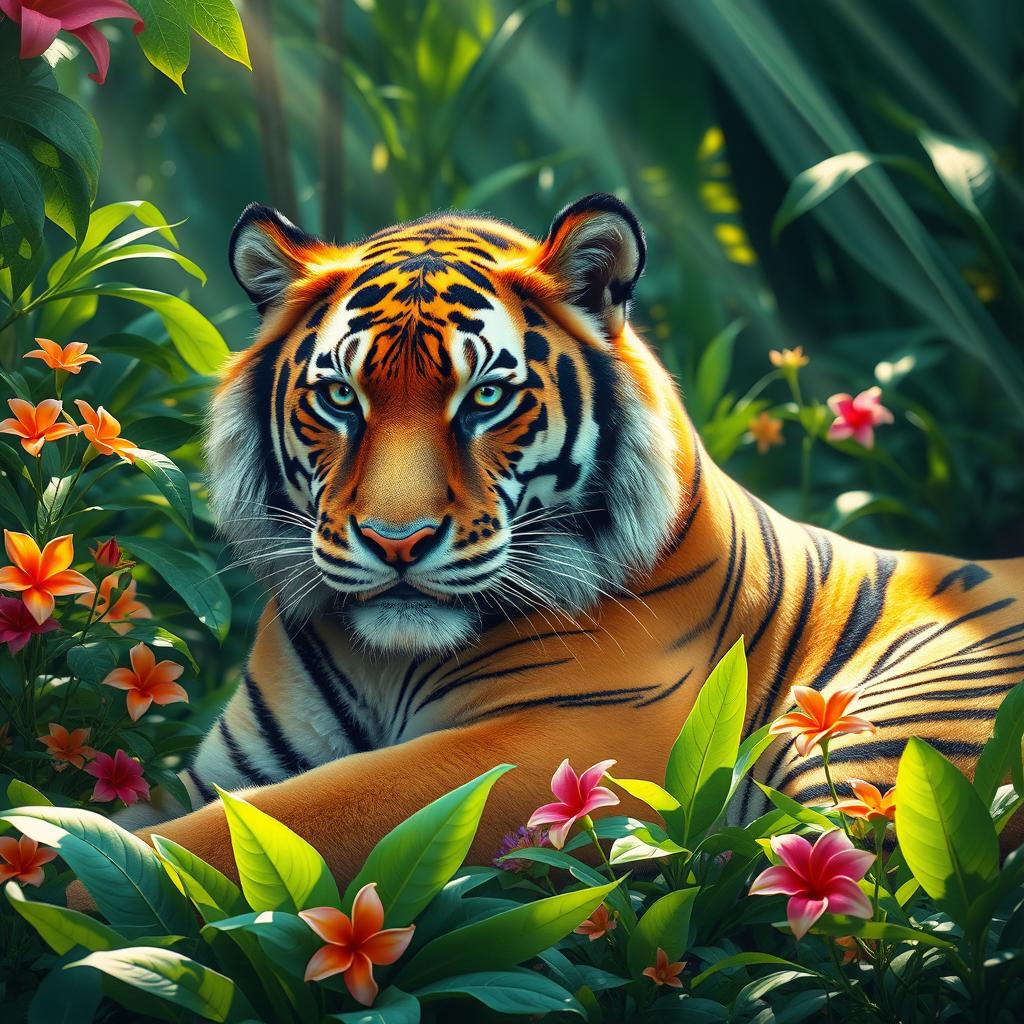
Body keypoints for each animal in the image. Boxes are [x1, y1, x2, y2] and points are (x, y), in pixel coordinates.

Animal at [132, 192, 1024, 878]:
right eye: (341, 398)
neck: (383, 661)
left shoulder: (567, 739)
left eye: (486, 397)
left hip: (890, 748)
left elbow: (248, 832)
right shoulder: (229, 764)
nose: (397, 542)